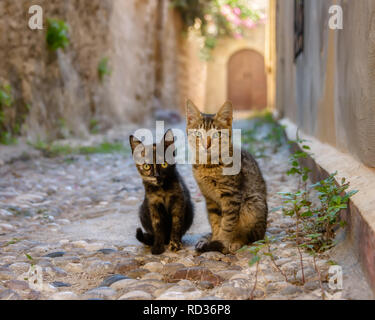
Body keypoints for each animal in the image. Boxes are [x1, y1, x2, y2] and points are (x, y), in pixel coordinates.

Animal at [187, 100, 268, 255]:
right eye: (198, 134)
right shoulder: (210, 198)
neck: (208, 165)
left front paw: (222, 242)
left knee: (252, 236)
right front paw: (215, 239)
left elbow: (228, 222)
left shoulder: (231, 195)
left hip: (253, 203)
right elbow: (216, 221)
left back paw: (236, 242)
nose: (206, 145)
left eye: (216, 135)